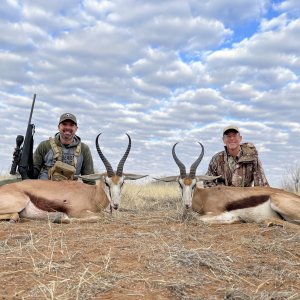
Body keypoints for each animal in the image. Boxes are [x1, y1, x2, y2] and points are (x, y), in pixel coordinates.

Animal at [0, 134, 146, 223]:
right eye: (106, 182)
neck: (92, 195)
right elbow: (100, 216)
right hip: (20, 202)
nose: (115, 205)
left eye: (122, 182)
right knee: (14, 215)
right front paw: (62, 219)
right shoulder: (77, 211)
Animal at [157, 142, 300, 226]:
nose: (187, 205)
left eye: (194, 184)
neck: (205, 197)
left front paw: (235, 219)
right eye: (180, 184)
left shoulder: (218, 213)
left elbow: (196, 218)